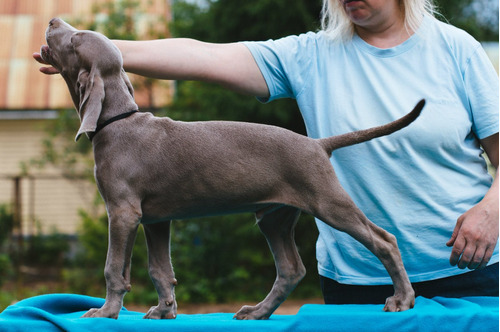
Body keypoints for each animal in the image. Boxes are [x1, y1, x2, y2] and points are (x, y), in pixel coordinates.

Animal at [41, 17, 422, 320]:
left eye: (75, 40)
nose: (53, 20)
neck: (118, 121)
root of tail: (317, 144)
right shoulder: (155, 219)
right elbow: (160, 269)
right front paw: (164, 310)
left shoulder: (122, 212)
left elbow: (113, 268)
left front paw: (105, 312)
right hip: (274, 216)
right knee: (291, 269)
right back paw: (258, 312)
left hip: (327, 201)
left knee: (384, 240)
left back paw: (402, 299)